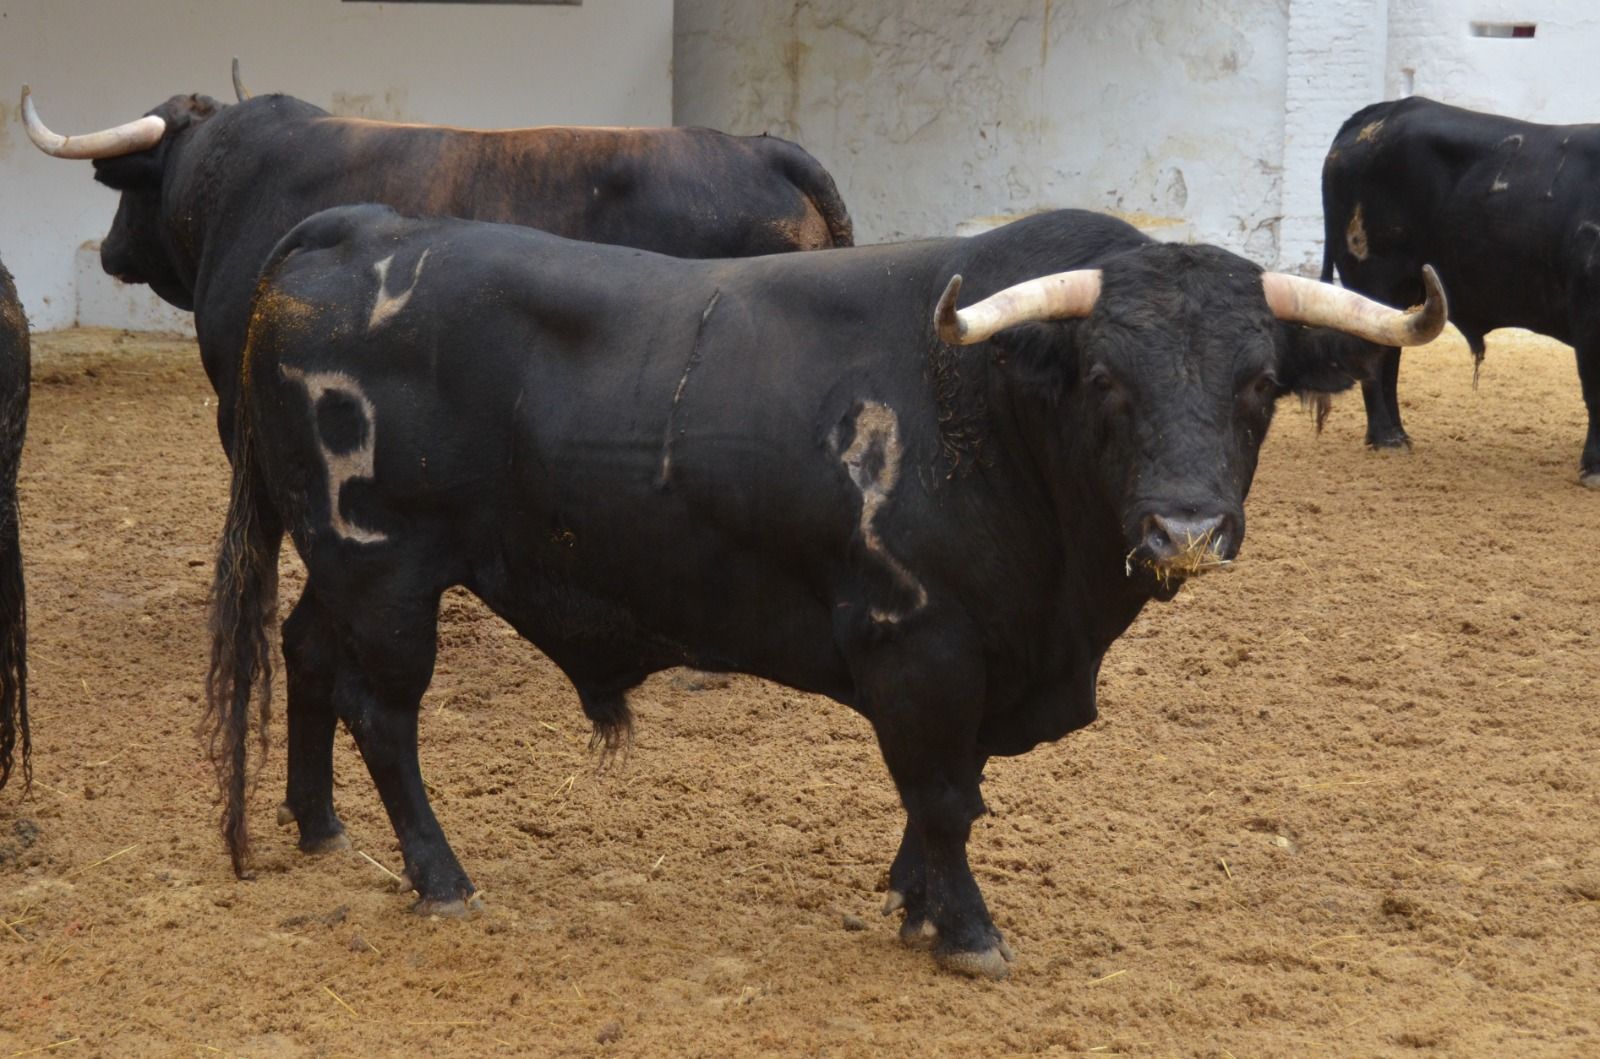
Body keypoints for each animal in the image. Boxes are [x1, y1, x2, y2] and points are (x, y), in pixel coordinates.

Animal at [206, 204, 1446, 979]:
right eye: (1104, 378)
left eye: (1259, 386)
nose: (1184, 528)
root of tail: (355, 226)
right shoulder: (919, 646)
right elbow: (942, 796)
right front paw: (965, 931)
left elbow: (949, 793)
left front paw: (912, 902)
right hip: (383, 563)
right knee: (382, 713)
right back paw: (440, 876)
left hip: (341, 565)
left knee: (306, 655)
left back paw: (317, 827)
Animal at [1324, 95, 1600, 489]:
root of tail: (1385, 110)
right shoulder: (1588, 311)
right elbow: (1595, 390)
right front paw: (1594, 468)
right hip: (1374, 279)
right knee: (1374, 356)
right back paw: (1387, 439)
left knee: (1390, 352)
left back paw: (1398, 435)